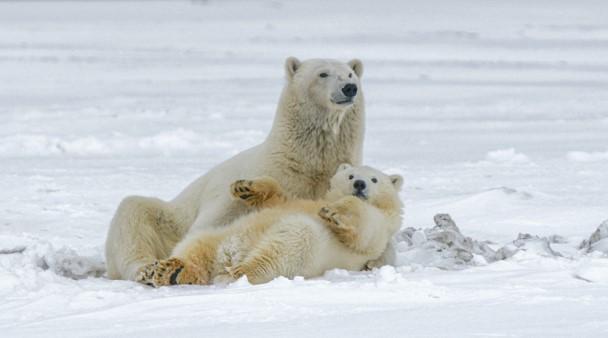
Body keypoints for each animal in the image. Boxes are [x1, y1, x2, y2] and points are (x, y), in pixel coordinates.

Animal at [105, 57, 394, 280]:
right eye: (323, 73)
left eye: (350, 73)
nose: (349, 88)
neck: (306, 163)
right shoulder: (258, 182)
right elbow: (215, 221)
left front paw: (375, 261)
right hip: (169, 219)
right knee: (133, 214)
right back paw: (145, 269)